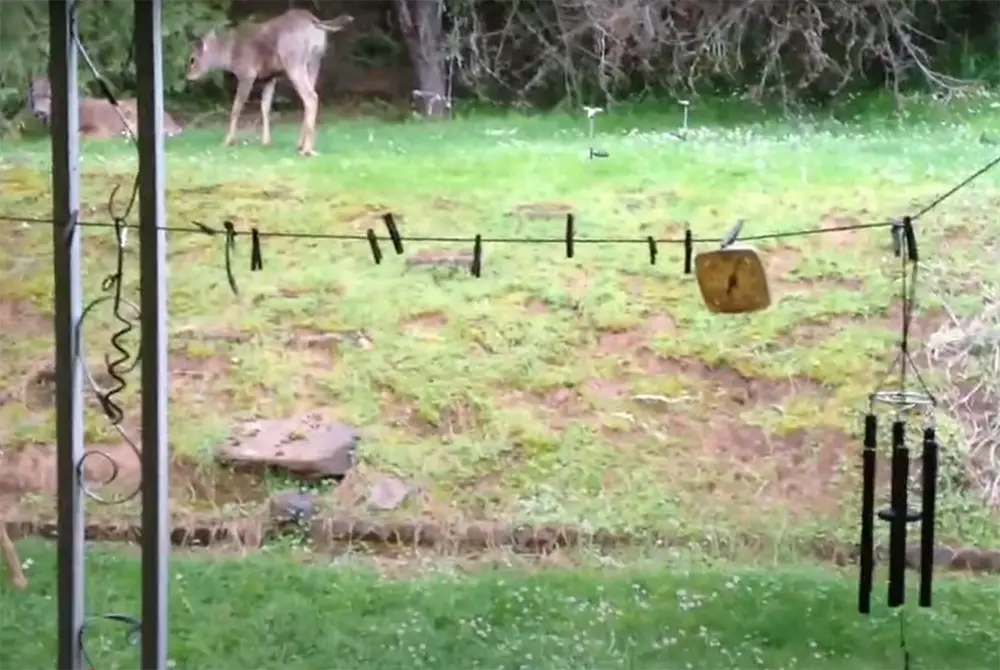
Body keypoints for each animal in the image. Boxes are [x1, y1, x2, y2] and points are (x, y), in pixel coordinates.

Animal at [28, 75, 186, 140]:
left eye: (49, 96)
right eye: (34, 95)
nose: (39, 112)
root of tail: (172, 122)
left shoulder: (100, 128)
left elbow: (83, 134)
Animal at [186, 9, 354, 158]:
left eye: (192, 59)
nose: (188, 76)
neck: (230, 56)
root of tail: (314, 21)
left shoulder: (247, 74)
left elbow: (236, 107)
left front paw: (228, 140)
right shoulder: (270, 77)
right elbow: (265, 107)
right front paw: (266, 142)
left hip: (293, 60)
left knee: (311, 97)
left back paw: (307, 150)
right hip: (314, 62)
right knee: (308, 98)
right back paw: (301, 145)